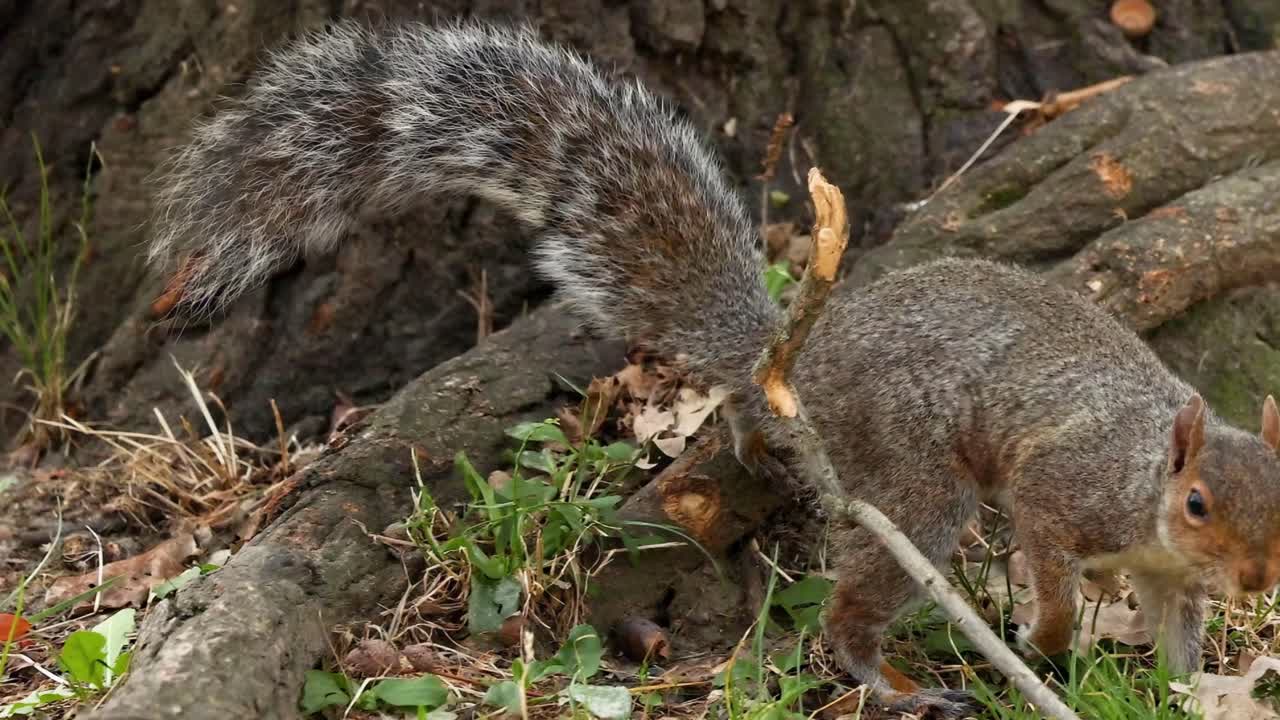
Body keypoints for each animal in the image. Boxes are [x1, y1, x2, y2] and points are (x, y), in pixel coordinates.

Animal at [147, 20, 1280, 719]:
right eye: (1194, 503)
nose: (1260, 581)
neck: (1147, 492)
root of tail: (793, 358)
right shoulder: (1065, 493)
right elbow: (1045, 560)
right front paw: (1042, 637)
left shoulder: (1172, 587)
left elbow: (1178, 643)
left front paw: (1181, 694)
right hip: (912, 480)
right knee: (859, 596)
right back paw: (891, 681)